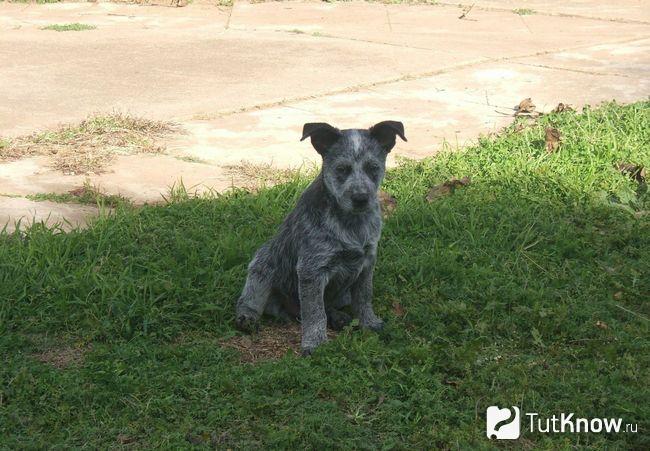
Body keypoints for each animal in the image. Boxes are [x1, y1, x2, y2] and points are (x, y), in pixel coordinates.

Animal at [233, 122, 404, 354]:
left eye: (372, 167)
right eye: (341, 169)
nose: (360, 198)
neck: (351, 223)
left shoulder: (367, 262)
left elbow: (364, 298)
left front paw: (370, 323)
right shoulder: (311, 270)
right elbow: (314, 312)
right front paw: (314, 343)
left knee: (329, 305)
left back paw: (339, 318)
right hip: (263, 264)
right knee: (251, 300)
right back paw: (247, 318)